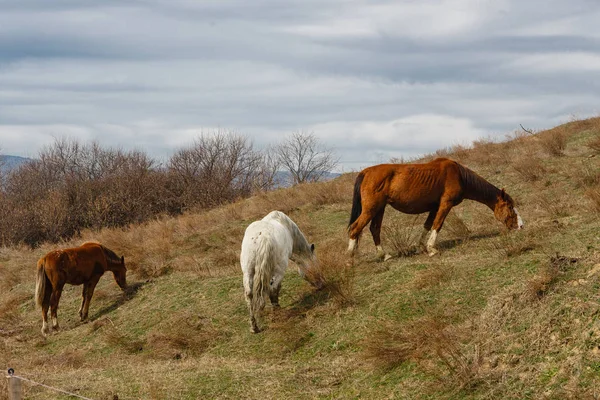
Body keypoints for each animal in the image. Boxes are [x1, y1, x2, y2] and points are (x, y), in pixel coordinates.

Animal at [350, 158, 524, 258]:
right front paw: (432, 249)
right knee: (355, 228)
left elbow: (427, 225)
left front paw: (421, 247)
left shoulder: (434, 207)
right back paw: (349, 258)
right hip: (372, 209)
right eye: (510, 206)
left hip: (379, 208)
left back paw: (384, 255)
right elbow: (437, 225)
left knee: (374, 229)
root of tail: (365, 172)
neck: (459, 175)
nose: (521, 226)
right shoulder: (445, 204)